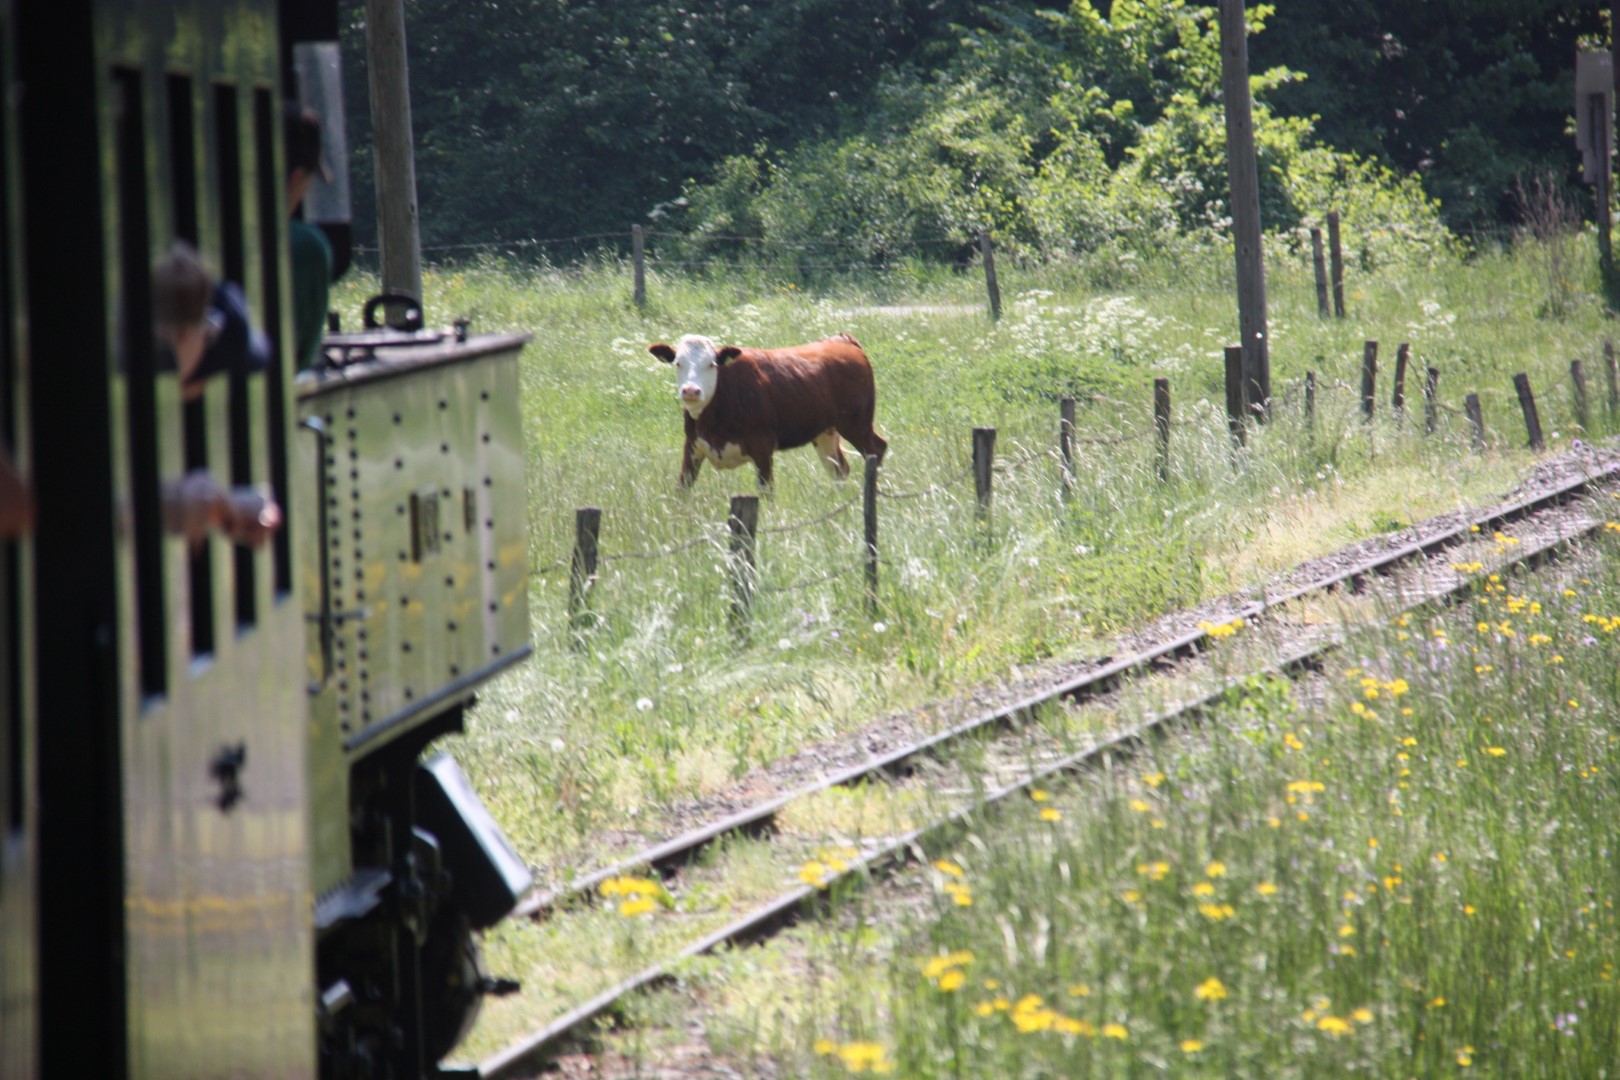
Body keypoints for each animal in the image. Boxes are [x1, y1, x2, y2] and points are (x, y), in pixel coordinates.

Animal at [648, 333, 887, 488]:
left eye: (711, 364)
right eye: (678, 363)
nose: (691, 390)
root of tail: (842, 341)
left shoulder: (762, 448)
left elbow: (766, 491)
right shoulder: (692, 446)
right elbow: (682, 489)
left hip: (857, 425)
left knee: (876, 449)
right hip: (826, 432)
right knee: (838, 468)